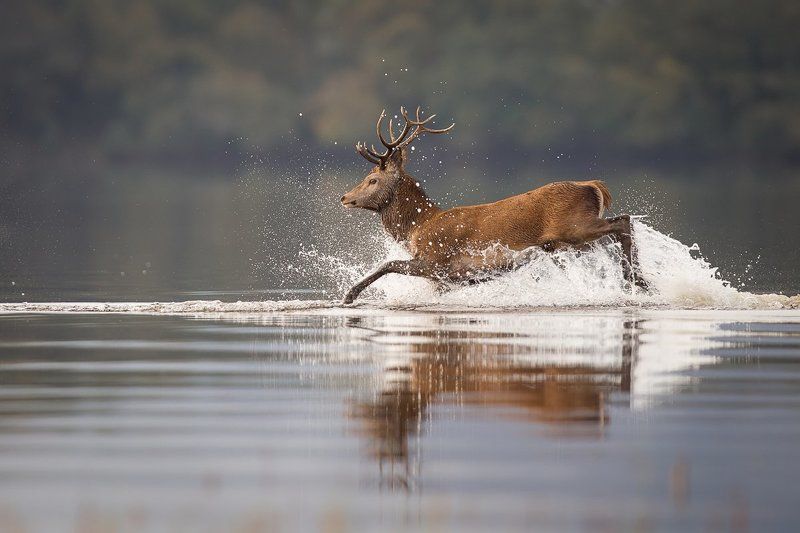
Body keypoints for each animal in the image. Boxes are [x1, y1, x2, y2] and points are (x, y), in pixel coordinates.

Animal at [340, 106, 648, 304]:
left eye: (372, 179)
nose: (343, 197)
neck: (417, 228)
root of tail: (593, 186)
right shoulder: (448, 280)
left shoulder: (436, 261)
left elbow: (388, 263)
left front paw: (349, 295)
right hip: (574, 243)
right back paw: (637, 281)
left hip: (574, 226)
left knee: (623, 220)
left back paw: (637, 280)